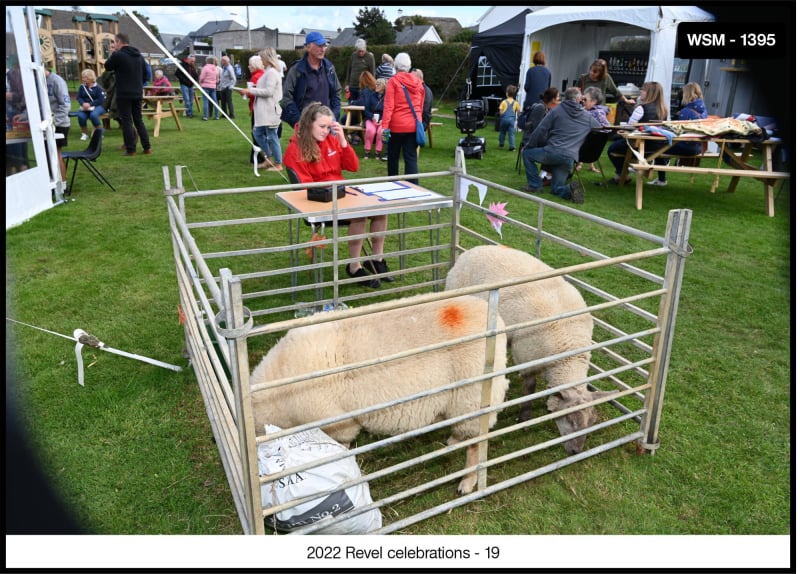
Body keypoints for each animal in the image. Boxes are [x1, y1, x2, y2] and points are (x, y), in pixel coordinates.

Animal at [253, 296, 510, 496]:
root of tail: (496, 319)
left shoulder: (336, 421)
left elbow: (341, 446)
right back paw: (454, 439)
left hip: (473, 398)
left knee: (476, 445)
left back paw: (468, 482)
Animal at [444, 245, 612, 456]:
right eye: (570, 419)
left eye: (592, 422)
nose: (576, 452)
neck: (568, 351)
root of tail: (474, 250)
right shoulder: (526, 355)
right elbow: (530, 387)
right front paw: (525, 416)